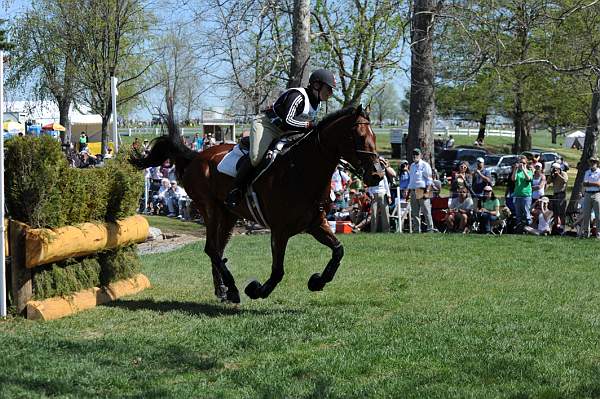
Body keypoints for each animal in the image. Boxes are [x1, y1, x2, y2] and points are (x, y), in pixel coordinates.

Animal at [132, 104, 384, 304]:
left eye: (373, 136)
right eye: (359, 137)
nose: (377, 175)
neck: (302, 171)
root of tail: (197, 156)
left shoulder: (315, 224)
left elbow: (338, 250)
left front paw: (317, 282)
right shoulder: (280, 230)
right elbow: (278, 271)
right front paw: (257, 290)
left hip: (229, 215)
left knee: (216, 250)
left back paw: (223, 290)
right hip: (210, 209)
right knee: (212, 249)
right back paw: (232, 289)